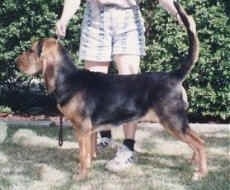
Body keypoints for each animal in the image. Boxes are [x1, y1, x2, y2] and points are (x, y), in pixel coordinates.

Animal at [16, 2, 207, 181]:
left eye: (31, 50)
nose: (16, 62)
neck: (68, 78)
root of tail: (174, 75)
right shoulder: (88, 131)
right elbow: (88, 154)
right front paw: (87, 170)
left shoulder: (82, 129)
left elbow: (82, 155)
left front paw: (80, 176)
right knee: (195, 142)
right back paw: (194, 163)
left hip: (173, 120)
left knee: (200, 142)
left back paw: (200, 173)